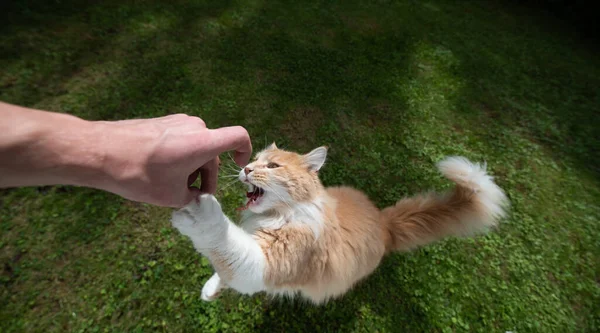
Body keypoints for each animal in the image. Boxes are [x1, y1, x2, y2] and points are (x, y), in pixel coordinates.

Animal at [171, 143, 508, 304]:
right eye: (253, 160)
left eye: (272, 166)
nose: (246, 169)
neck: (278, 214)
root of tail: (383, 220)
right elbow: (223, 265)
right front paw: (211, 288)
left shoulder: (265, 264)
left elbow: (226, 244)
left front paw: (200, 212)